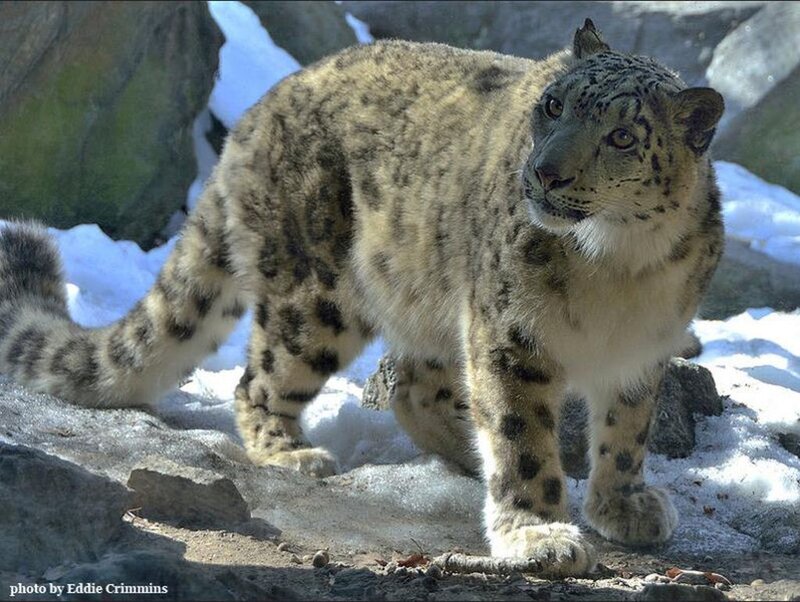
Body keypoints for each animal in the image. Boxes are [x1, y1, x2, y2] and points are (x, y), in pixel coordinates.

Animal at [0, 19, 724, 576]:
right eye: (553, 106)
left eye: (622, 137)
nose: (545, 173)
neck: (619, 266)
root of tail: (259, 110)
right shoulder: (510, 333)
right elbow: (520, 433)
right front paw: (538, 534)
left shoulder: (642, 352)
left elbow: (627, 431)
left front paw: (623, 506)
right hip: (318, 293)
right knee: (260, 380)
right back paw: (292, 452)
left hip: (424, 291)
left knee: (416, 385)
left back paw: (466, 453)